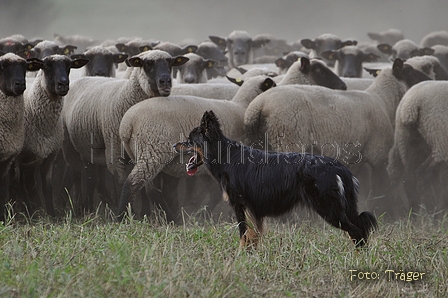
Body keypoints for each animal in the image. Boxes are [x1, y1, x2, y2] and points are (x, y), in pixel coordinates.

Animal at [62, 49, 188, 212]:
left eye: (171, 63)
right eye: (148, 64)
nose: (166, 81)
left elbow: (147, 189)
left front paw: (149, 212)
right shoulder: (115, 152)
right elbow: (121, 183)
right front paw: (129, 213)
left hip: (89, 150)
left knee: (90, 178)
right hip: (70, 146)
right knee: (77, 175)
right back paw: (79, 208)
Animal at [116, 74, 276, 219]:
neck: (242, 106)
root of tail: (127, 124)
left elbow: (213, 193)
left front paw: (202, 213)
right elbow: (219, 194)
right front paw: (205, 214)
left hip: (141, 153)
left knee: (150, 189)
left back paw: (171, 217)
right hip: (153, 150)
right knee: (133, 184)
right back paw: (123, 217)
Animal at [173, 110, 376, 248]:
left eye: (189, 140)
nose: (175, 145)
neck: (225, 155)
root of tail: (340, 167)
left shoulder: (240, 205)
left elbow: (243, 234)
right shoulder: (253, 211)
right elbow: (252, 236)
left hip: (328, 208)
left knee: (357, 231)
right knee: (359, 229)